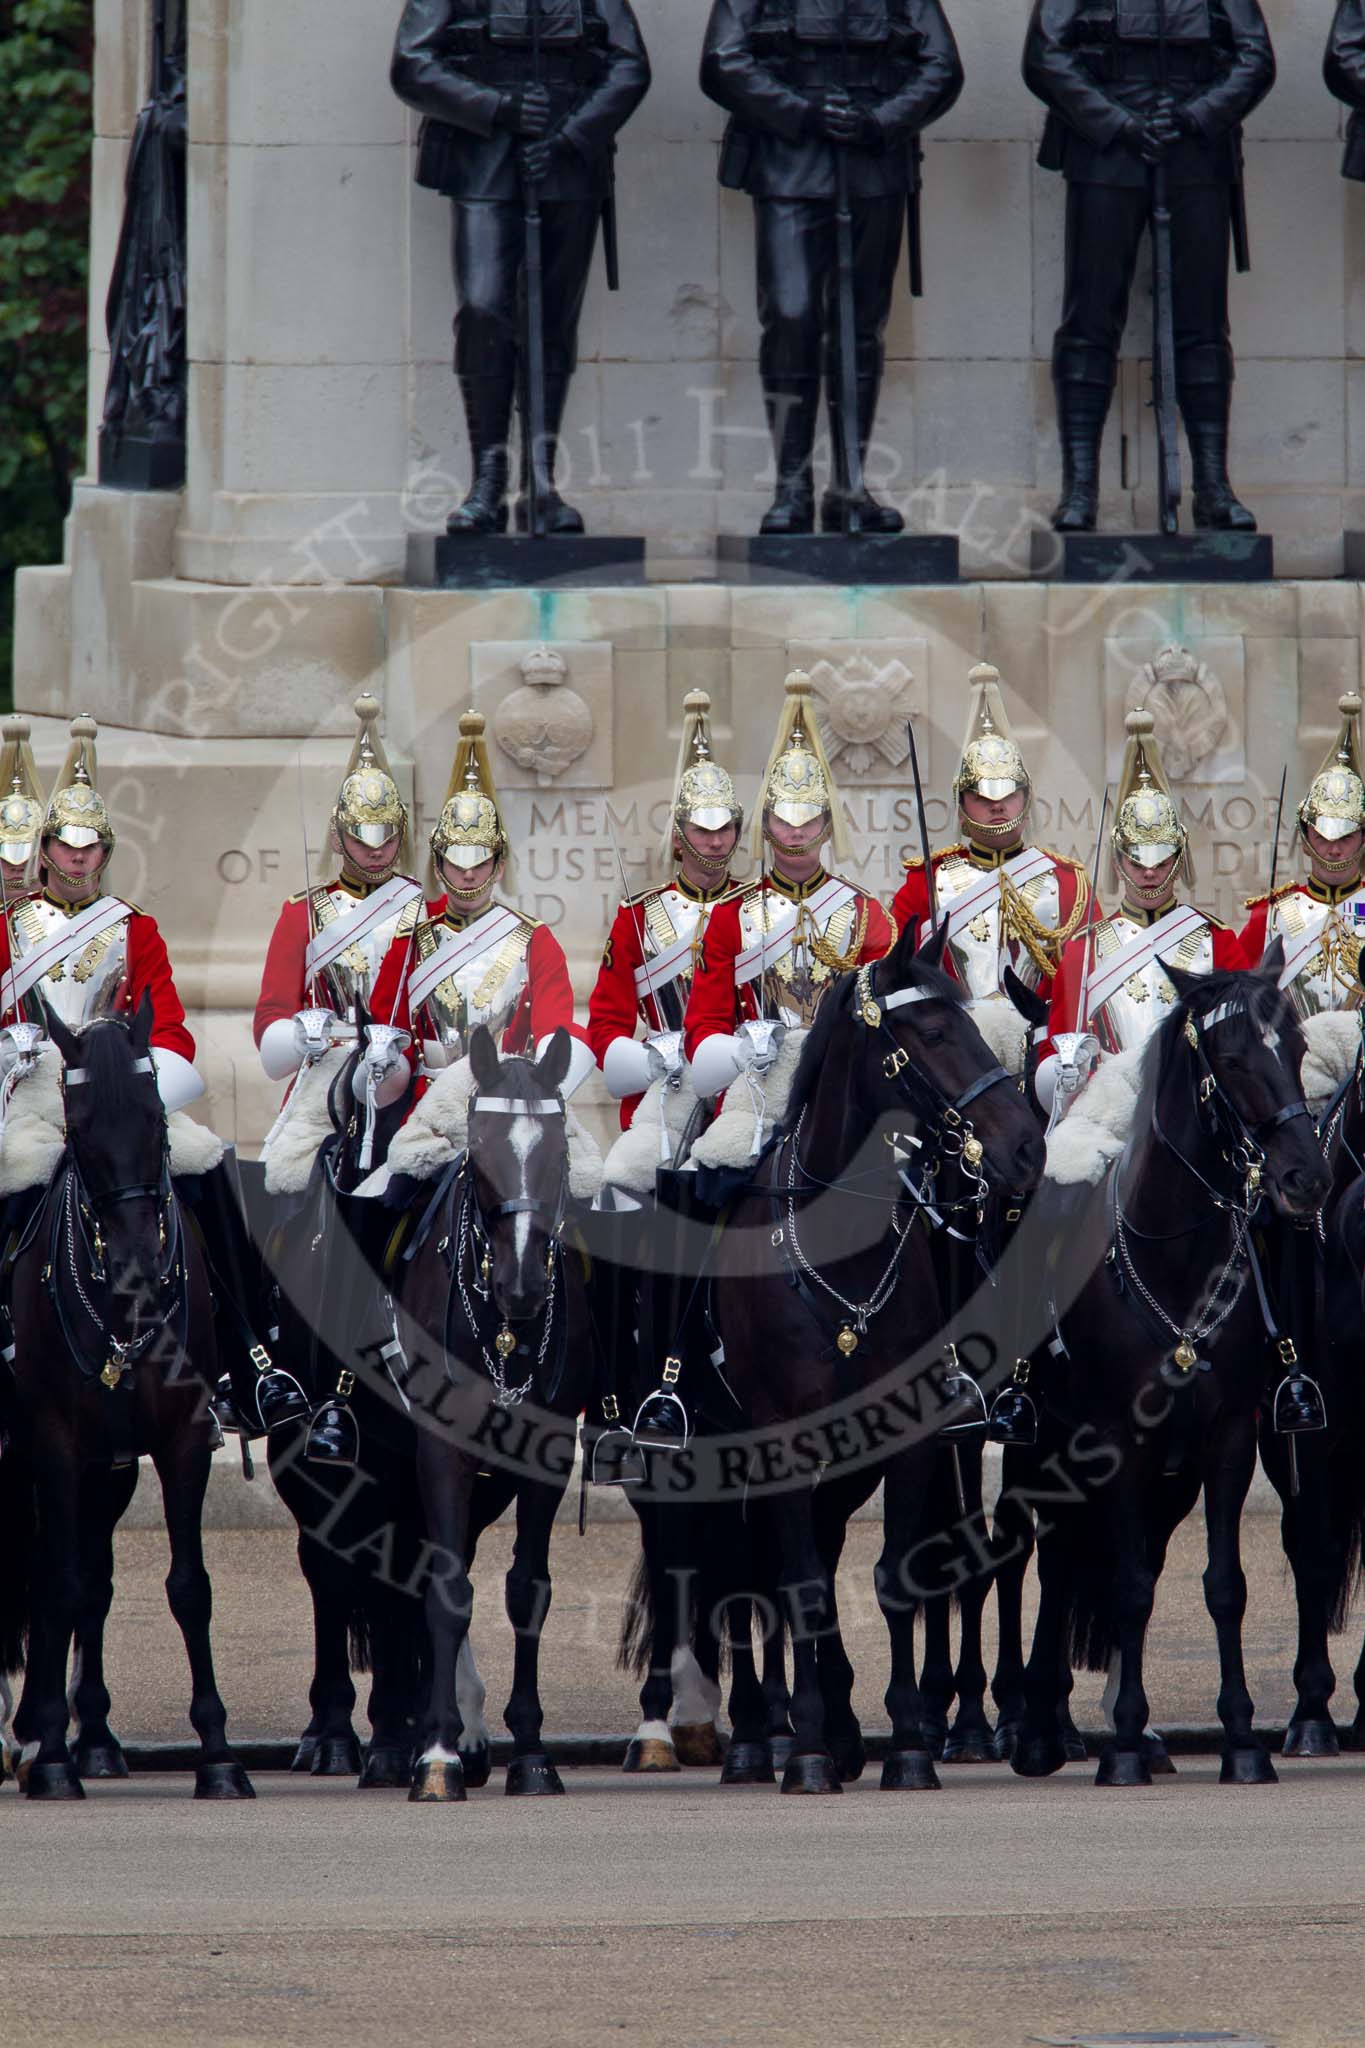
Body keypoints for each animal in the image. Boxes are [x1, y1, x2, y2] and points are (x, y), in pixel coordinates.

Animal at [0, 1003, 253, 1794]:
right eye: (78, 1128)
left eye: (155, 1117)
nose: (141, 1263)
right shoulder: (54, 1443)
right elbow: (57, 1584)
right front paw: (52, 1758)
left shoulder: (182, 1440)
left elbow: (188, 1587)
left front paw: (219, 1755)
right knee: (60, 1574)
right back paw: (39, 1736)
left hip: (108, 1468)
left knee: (96, 1579)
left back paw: (95, 1739)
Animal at [1015, 966, 1334, 1785]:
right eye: (1229, 1055)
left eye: (1293, 1046)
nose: (1306, 1178)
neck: (1175, 1256)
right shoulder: (1116, 1440)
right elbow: (1126, 1587)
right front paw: (1124, 1743)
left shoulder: (1226, 1441)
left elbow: (1222, 1586)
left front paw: (1241, 1737)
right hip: (1048, 1444)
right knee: (1057, 1558)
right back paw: (1041, 1729)